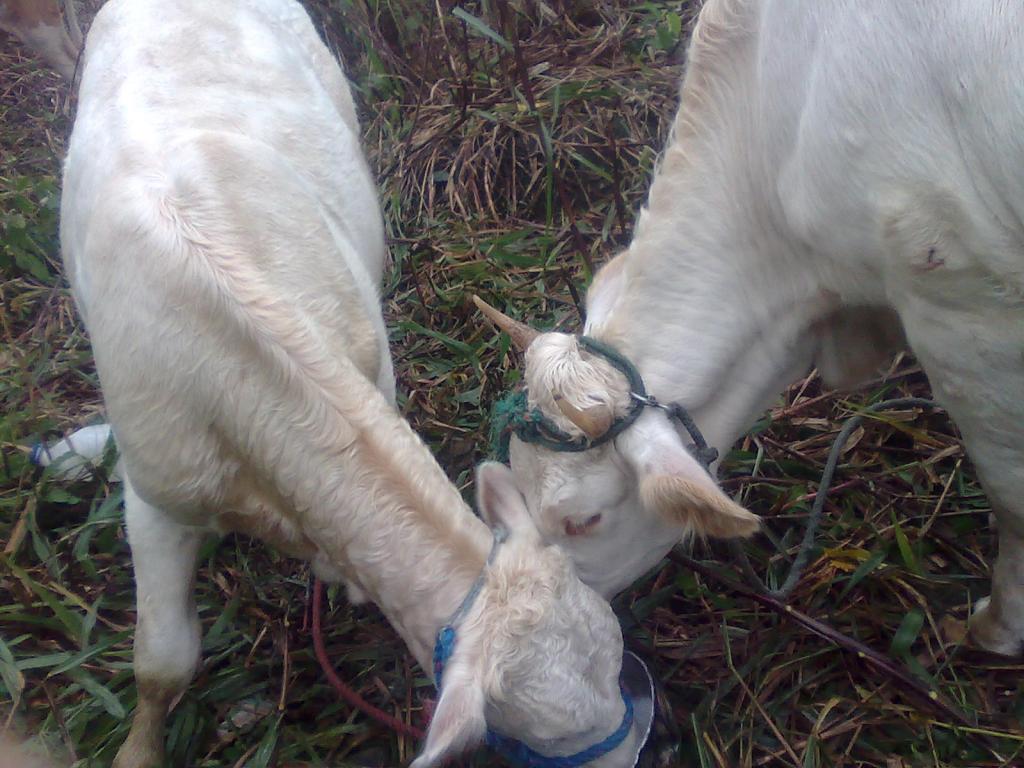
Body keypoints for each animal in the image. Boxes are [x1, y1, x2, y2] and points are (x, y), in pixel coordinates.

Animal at [61, 1, 638, 768]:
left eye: (615, 656)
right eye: (542, 735)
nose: (644, 749)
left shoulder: (373, 374)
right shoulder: (158, 490)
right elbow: (161, 665)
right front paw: (138, 749)